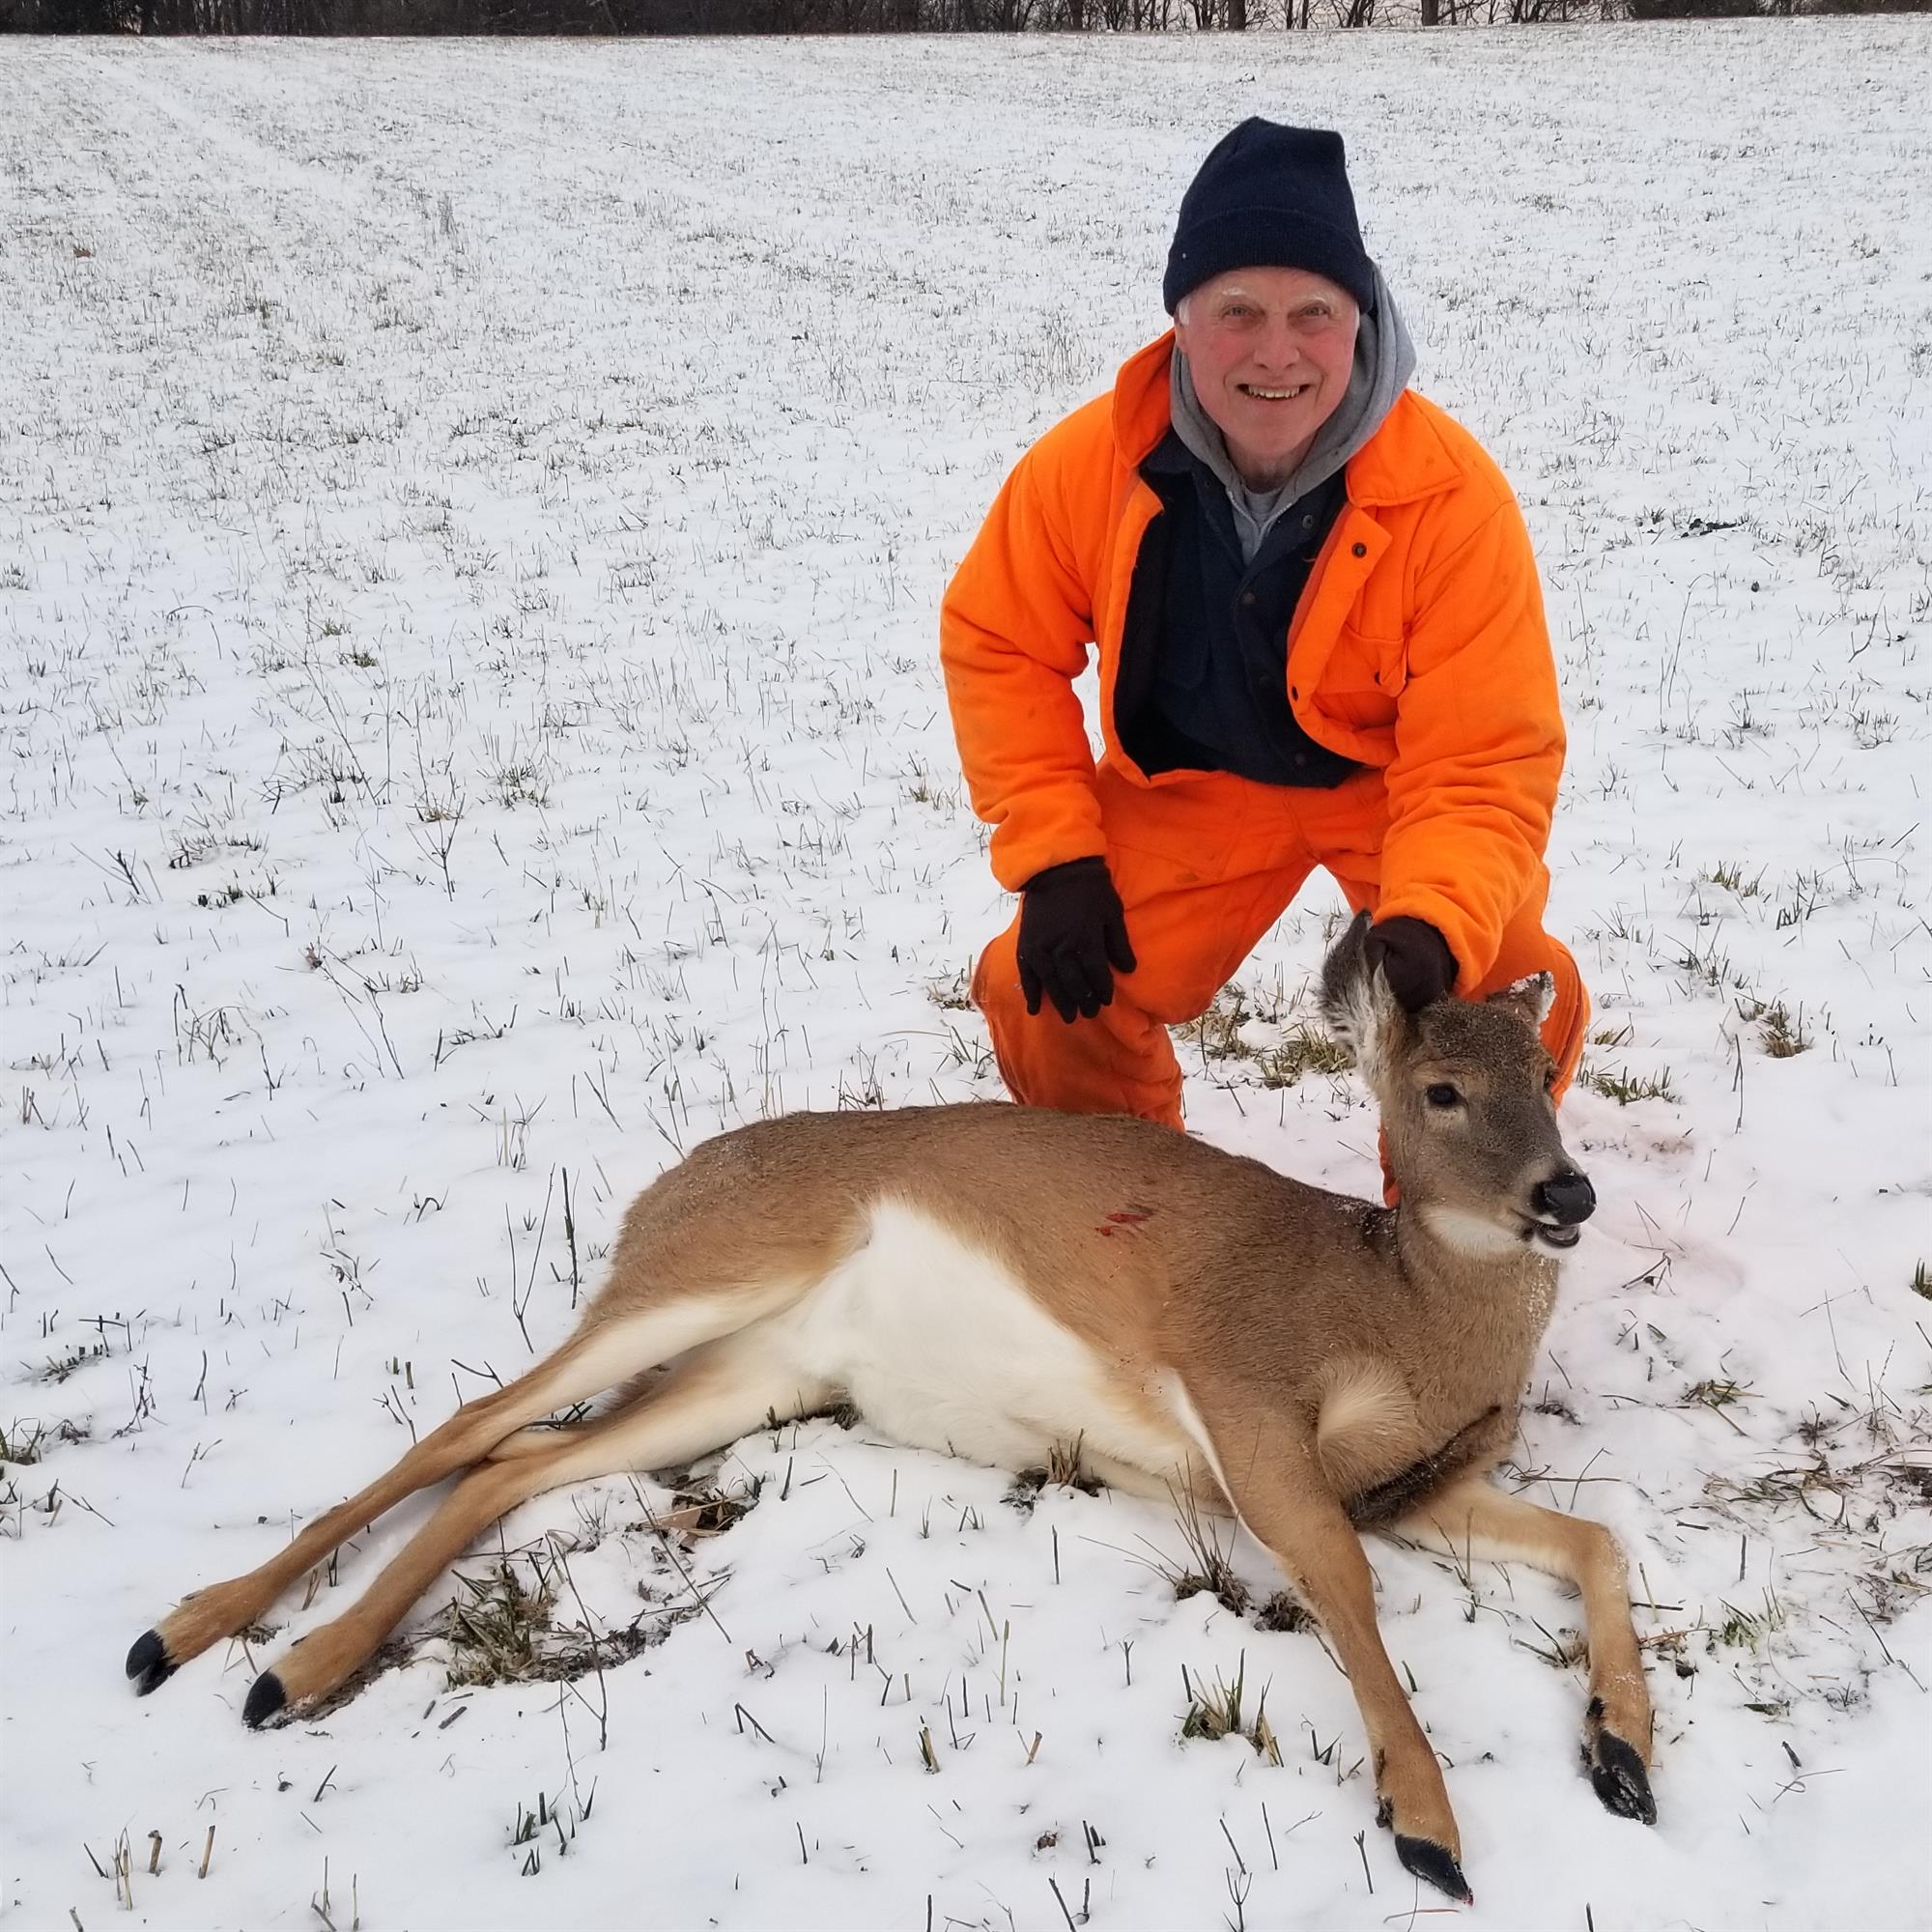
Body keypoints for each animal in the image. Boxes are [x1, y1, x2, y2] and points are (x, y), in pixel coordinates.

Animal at [128, 916, 1654, 1901]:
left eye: (1548, 1073)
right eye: (1440, 1088)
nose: (1567, 1194)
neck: (1396, 1317)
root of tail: (661, 1188)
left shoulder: (1419, 1486)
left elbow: (1595, 1541)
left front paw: (1622, 1750)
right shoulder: (1242, 1394)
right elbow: (1345, 1587)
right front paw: (1427, 1821)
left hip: (752, 1373)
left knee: (519, 1459)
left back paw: (284, 1662)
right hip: (706, 1272)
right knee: (468, 1424)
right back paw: (210, 1640)